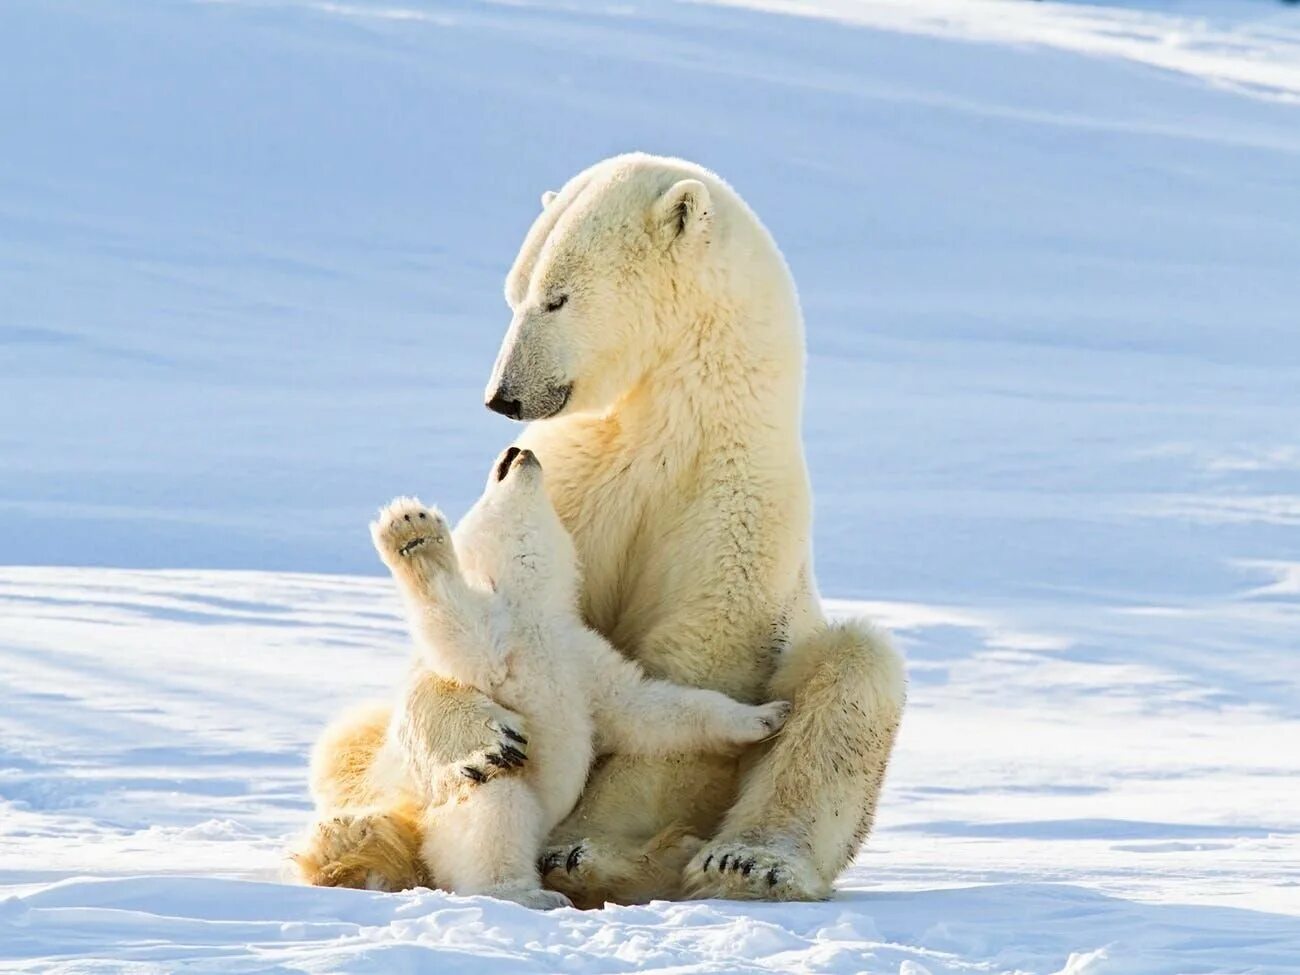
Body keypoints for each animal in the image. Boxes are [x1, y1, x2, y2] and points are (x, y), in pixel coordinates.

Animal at [369, 449, 790, 909]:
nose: (519, 451)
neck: (535, 612)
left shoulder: (582, 659)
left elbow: (645, 707)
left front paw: (769, 715)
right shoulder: (500, 635)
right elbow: (454, 627)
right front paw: (412, 529)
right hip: (456, 816)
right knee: (498, 806)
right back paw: (528, 892)